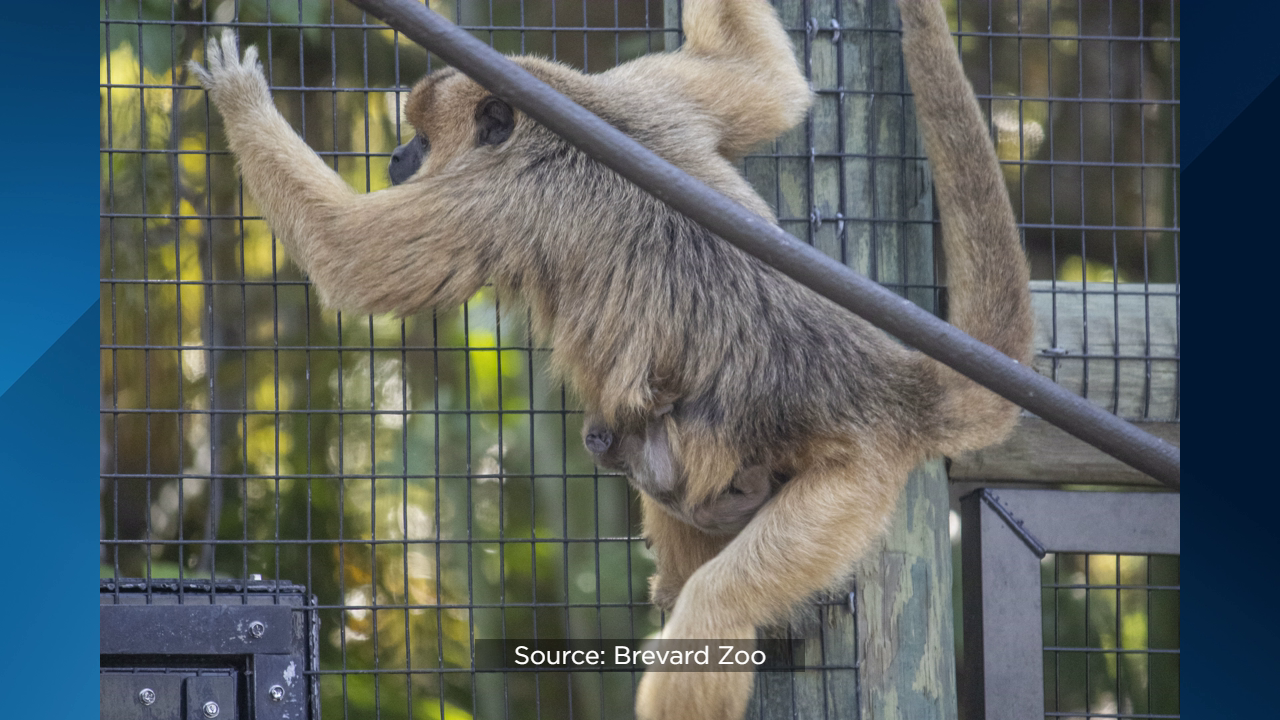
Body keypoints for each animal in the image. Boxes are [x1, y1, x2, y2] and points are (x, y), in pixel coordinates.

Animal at [189, 0, 1029, 712]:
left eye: (424, 140)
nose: (398, 154)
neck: (549, 121)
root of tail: (892, 386)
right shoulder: (641, 91)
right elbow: (765, 81)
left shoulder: (492, 196)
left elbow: (348, 260)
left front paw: (240, 96)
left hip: (850, 485)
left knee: (717, 611)